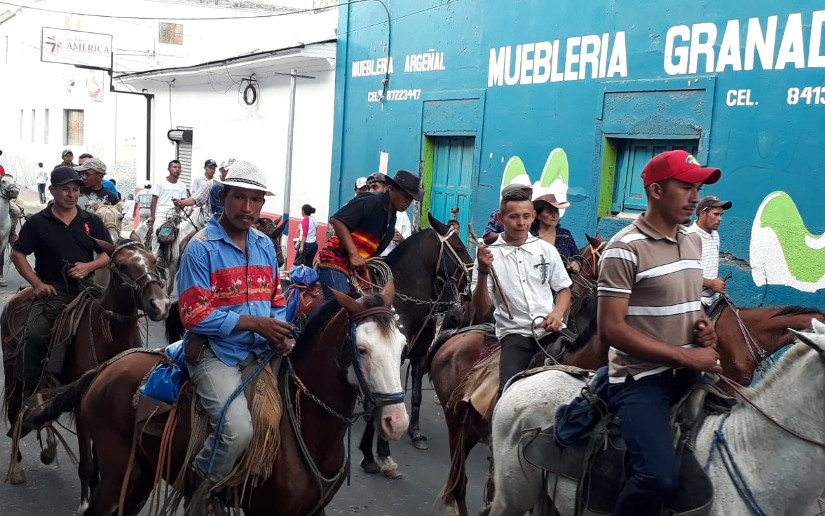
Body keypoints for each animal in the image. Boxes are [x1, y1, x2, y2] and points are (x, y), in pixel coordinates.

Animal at [1, 240, 169, 486]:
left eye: (154, 260)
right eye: (122, 265)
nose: (160, 305)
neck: (108, 335)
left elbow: (99, 459)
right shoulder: (81, 407)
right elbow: (87, 465)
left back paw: (49, 448)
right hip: (13, 374)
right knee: (16, 410)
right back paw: (15, 466)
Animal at [19, 284, 406, 512]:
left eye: (402, 346)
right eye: (362, 349)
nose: (396, 422)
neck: (304, 430)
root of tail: (105, 369)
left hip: (141, 474)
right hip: (118, 472)